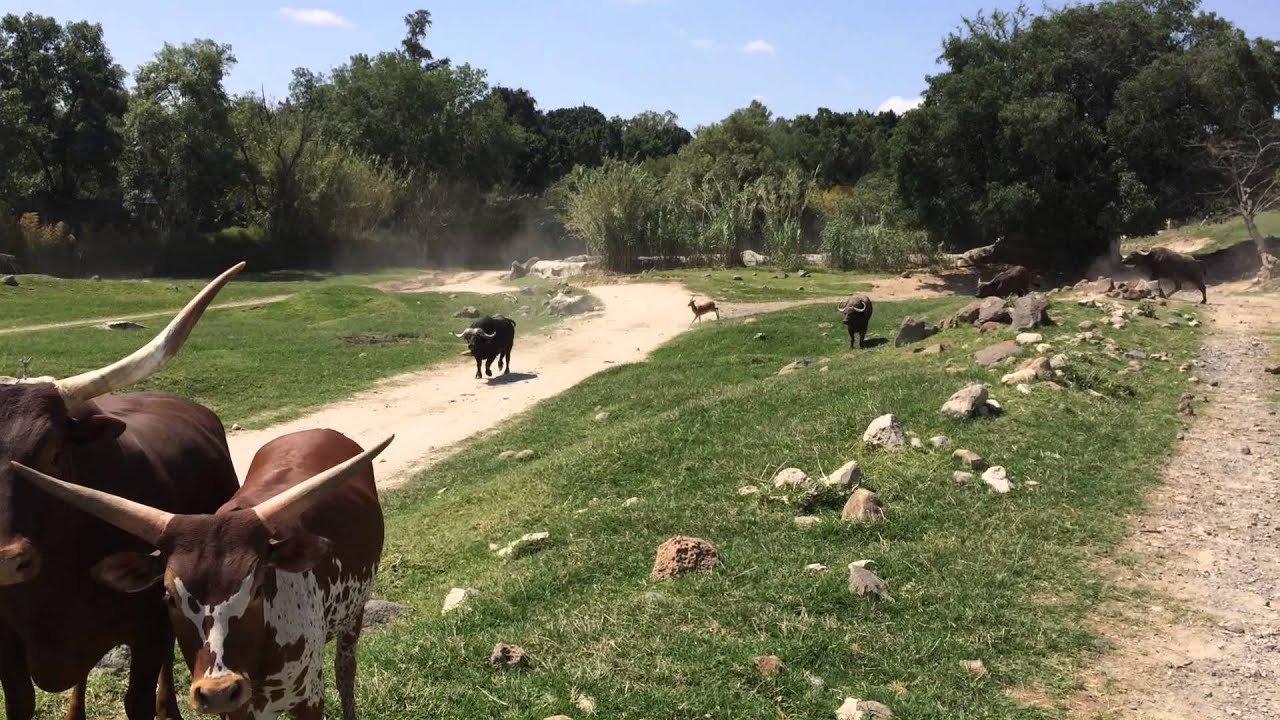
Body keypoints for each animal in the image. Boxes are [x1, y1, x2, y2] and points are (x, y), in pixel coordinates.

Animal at [11, 427, 394, 712]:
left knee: (345, 671)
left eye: (257, 589)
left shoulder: (308, 697)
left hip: (354, 614)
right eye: (169, 597)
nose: (219, 690)